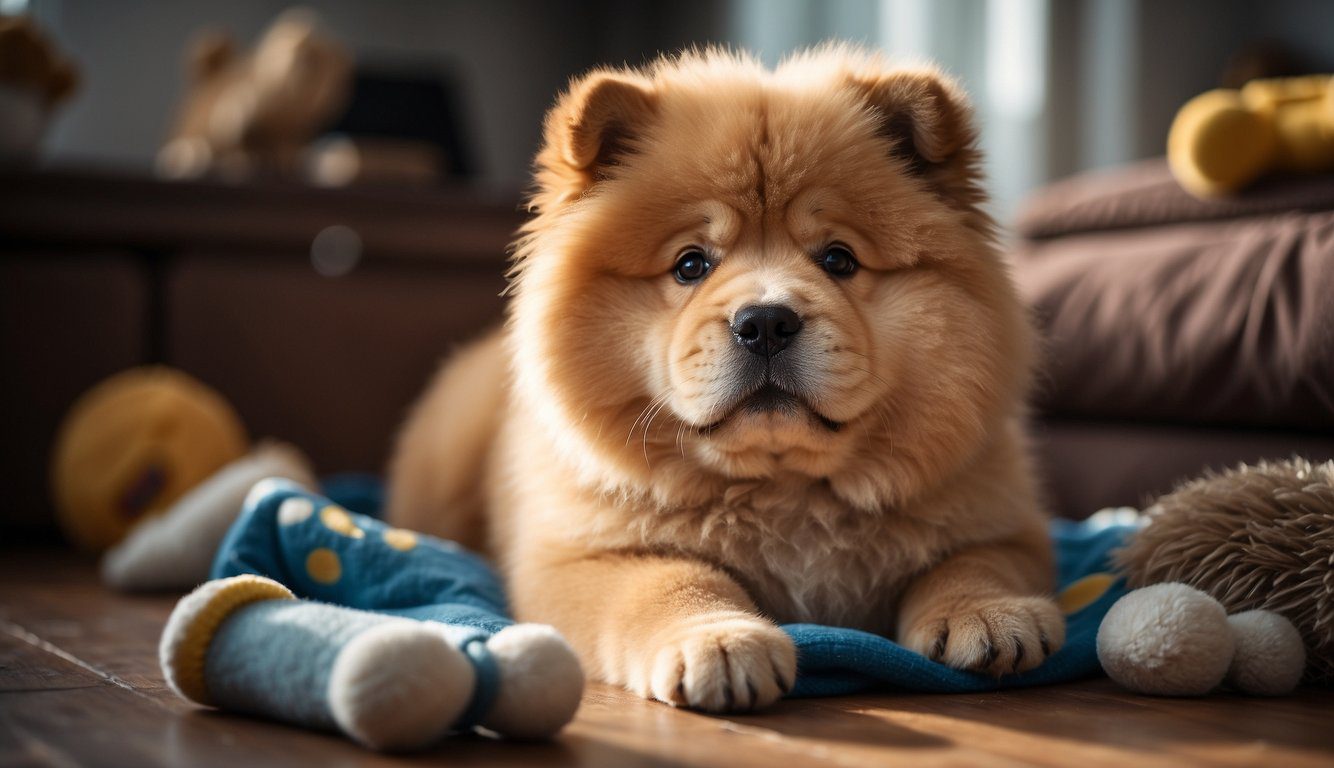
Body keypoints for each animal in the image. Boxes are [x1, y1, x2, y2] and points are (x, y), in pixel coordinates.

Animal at [389, 45, 1061, 709]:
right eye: (691, 265)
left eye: (839, 259)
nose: (765, 322)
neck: (785, 490)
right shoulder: (582, 556)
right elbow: (669, 579)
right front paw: (718, 642)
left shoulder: (1005, 522)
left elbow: (976, 560)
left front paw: (991, 614)